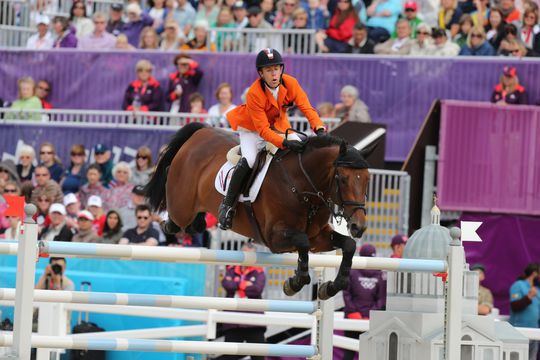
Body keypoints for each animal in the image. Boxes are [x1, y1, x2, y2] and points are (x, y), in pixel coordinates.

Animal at [146, 122, 370, 300]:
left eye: (367, 179)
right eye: (342, 179)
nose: (358, 226)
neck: (303, 185)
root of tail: (201, 132)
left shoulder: (318, 237)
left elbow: (348, 245)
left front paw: (331, 287)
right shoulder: (275, 238)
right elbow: (302, 242)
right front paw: (294, 283)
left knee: (194, 224)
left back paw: (202, 221)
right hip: (181, 207)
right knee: (174, 220)